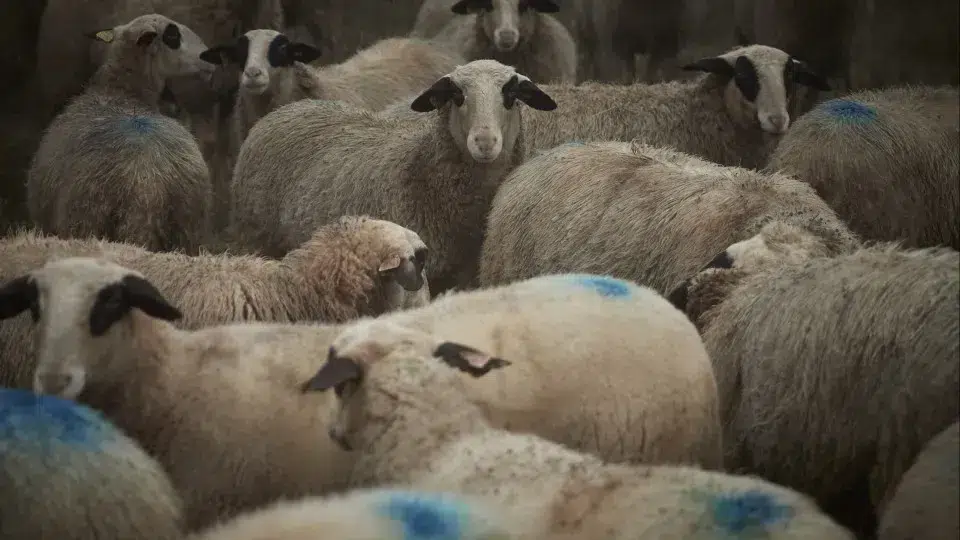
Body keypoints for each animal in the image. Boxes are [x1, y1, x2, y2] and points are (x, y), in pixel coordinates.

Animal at [27, 14, 213, 254]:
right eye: (172, 36)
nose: (209, 58)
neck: (120, 92)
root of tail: (148, 188)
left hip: (85, 219)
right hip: (189, 230)